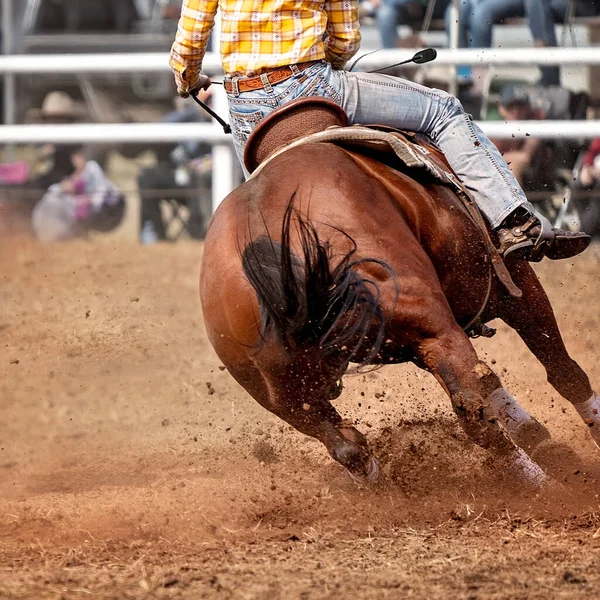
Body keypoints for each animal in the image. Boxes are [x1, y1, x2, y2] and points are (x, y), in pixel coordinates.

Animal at [199, 96, 596, 486]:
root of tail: (261, 233)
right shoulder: (510, 283)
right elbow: (562, 369)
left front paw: (537, 436)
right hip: (432, 325)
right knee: (473, 405)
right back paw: (545, 488)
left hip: (287, 394)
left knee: (349, 446)